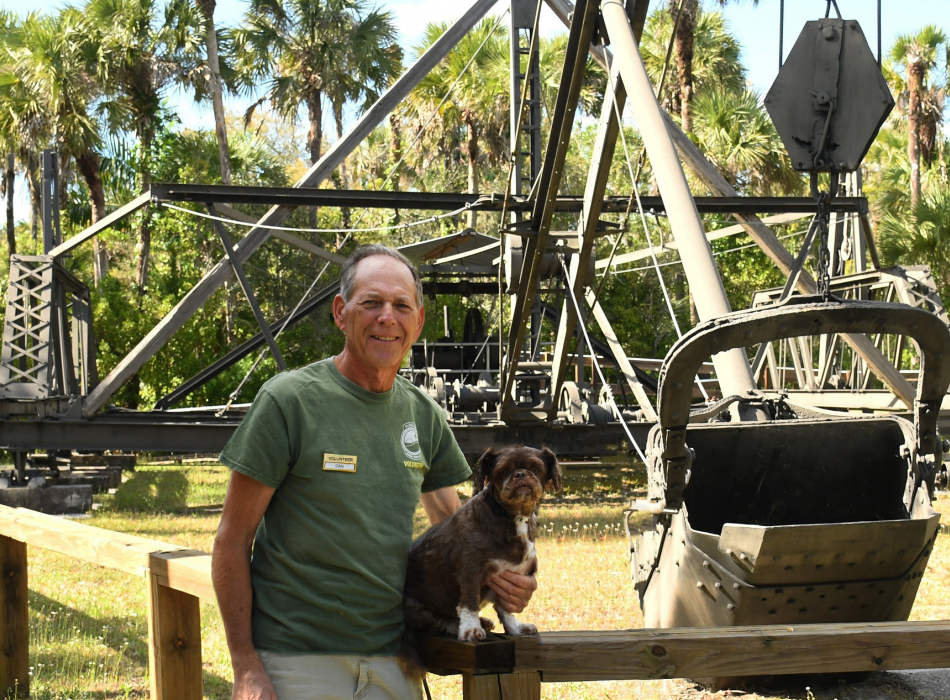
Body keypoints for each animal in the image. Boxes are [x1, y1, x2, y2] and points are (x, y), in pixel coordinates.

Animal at [404, 446, 564, 664]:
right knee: (435, 620)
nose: (521, 474)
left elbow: (505, 606)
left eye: (535, 468)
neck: (513, 517)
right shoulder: (471, 570)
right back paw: (456, 625)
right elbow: (469, 602)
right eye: (504, 470)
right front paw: (471, 629)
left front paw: (515, 627)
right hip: (415, 607)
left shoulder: (517, 574)